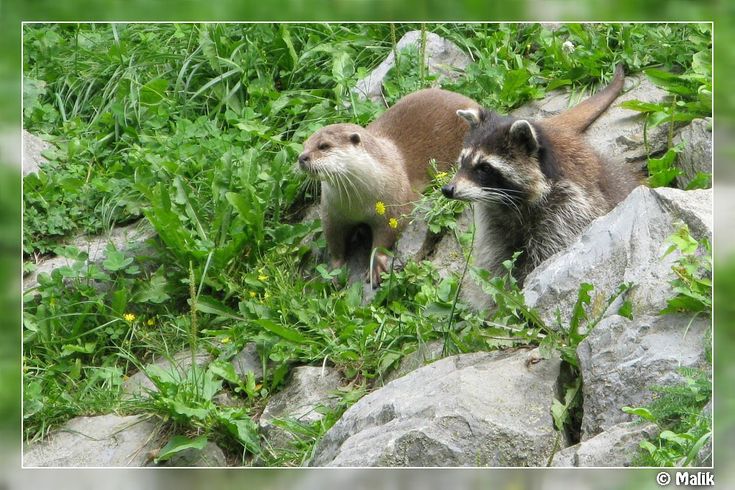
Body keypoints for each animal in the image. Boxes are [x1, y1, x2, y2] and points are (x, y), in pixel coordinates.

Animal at [300, 90, 484, 286]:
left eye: (324, 146)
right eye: (304, 145)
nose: (301, 157)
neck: (357, 203)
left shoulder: (394, 205)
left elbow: (386, 235)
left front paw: (375, 265)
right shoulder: (332, 213)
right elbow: (334, 239)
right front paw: (334, 270)